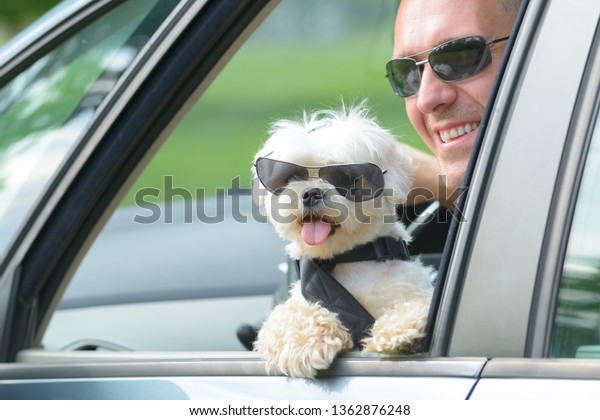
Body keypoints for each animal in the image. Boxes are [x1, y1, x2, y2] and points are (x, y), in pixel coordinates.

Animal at [251, 104, 434, 378]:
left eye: (343, 178)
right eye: (292, 176)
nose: (311, 192)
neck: (346, 258)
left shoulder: (411, 289)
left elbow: (418, 304)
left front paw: (397, 330)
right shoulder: (298, 302)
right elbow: (287, 317)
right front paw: (306, 342)